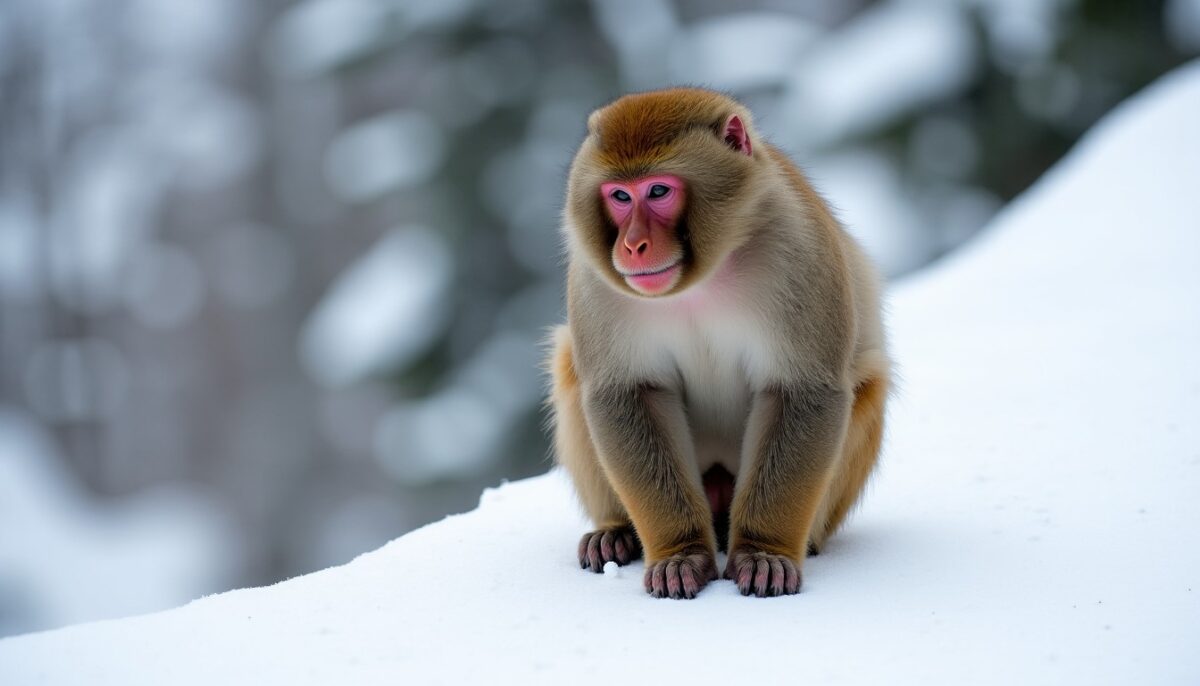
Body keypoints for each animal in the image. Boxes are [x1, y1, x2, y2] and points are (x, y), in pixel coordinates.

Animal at [547, 88, 891, 599]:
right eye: (621, 196)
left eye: (659, 191)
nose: (632, 245)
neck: (703, 279)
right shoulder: (595, 280)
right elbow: (627, 392)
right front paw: (680, 554)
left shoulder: (798, 246)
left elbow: (802, 390)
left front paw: (763, 553)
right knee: (570, 364)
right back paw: (616, 532)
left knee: (867, 384)